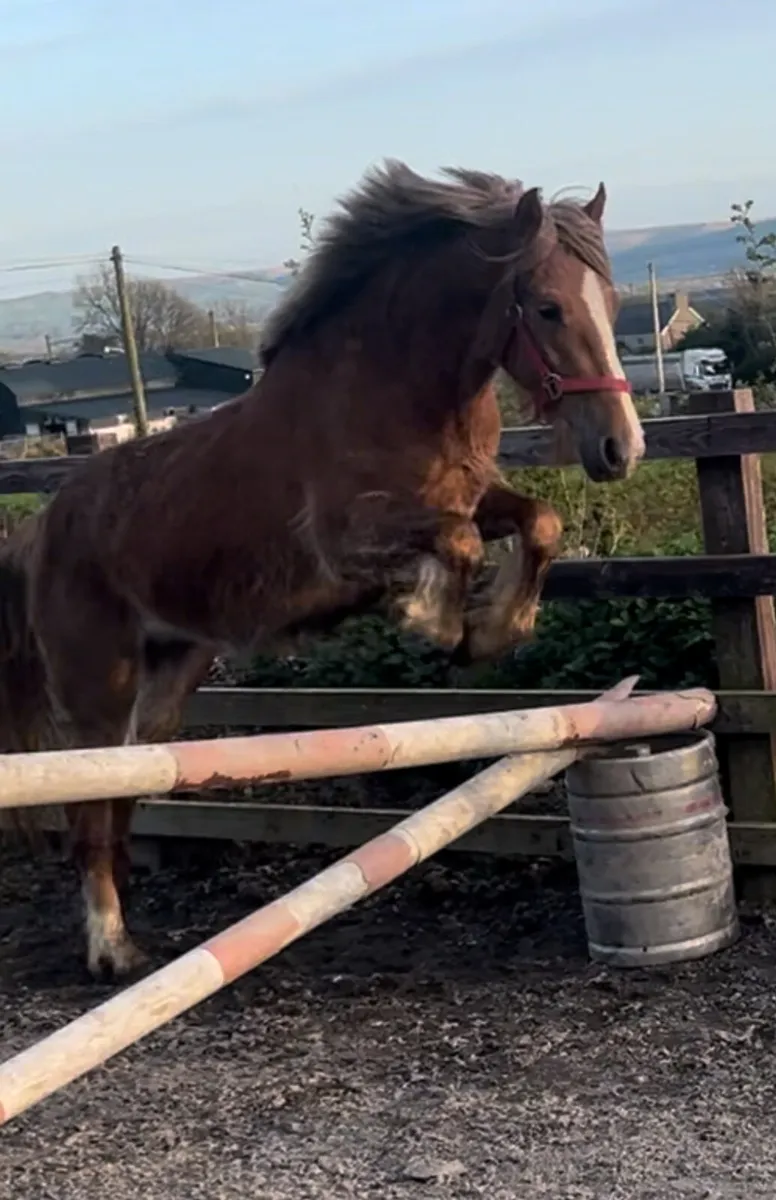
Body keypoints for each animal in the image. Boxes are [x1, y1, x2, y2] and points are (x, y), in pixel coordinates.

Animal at [0, 160, 644, 980]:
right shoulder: (350, 540)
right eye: (549, 307)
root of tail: (44, 526)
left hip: (169, 676)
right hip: (97, 687)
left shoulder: (474, 495)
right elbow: (459, 544)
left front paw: (494, 630)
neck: (398, 391)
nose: (621, 448)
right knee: (87, 808)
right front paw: (434, 620)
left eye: (614, 303)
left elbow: (538, 522)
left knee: (120, 796)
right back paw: (110, 950)